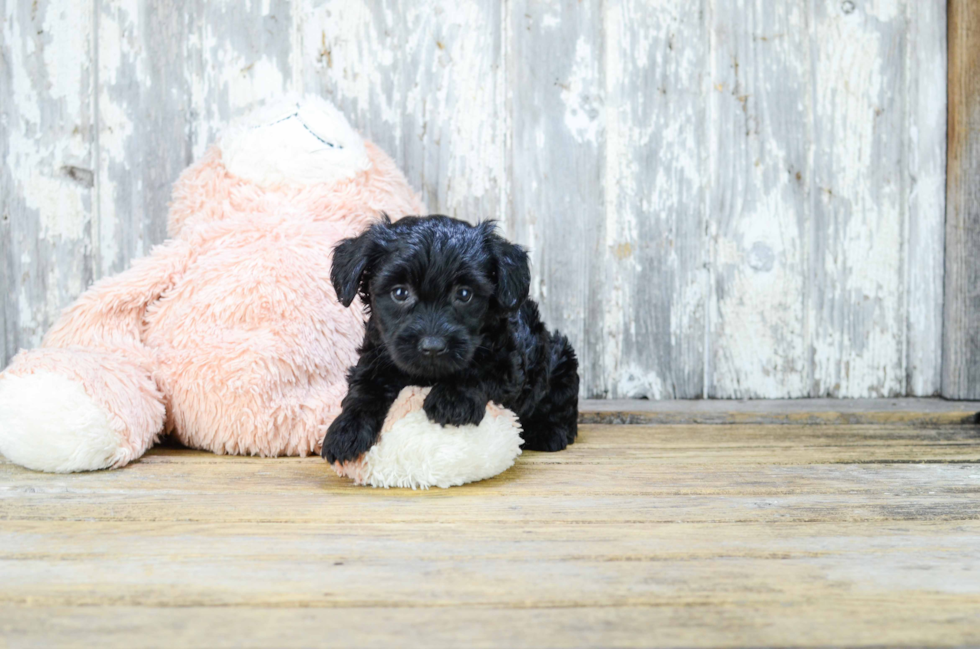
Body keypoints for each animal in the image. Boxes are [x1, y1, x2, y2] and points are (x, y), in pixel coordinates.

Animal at [326, 215, 580, 464]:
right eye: (399, 293)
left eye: (464, 294)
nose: (432, 347)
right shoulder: (377, 356)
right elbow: (365, 388)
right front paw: (346, 430)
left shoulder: (508, 362)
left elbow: (480, 370)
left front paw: (453, 399)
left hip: (560, 360)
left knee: (561, 404)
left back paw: (549, 432)